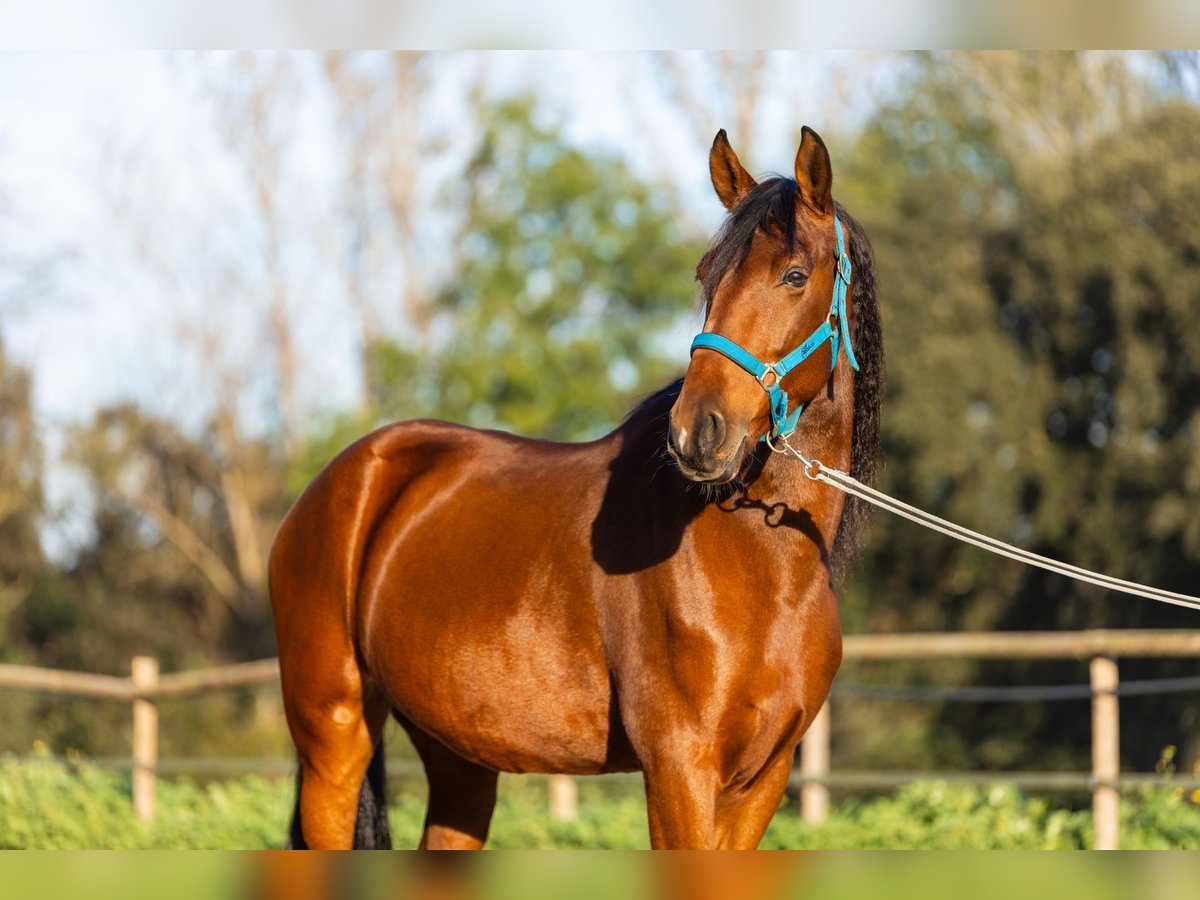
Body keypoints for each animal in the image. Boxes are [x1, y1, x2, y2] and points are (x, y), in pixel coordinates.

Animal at [274, 127, 892, 854]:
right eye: (706, 274)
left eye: (795, 275)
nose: (697, 431)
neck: (762, 569)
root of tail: (347, 477)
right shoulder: (678, 766)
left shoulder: (762, 779)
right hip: (332, 736)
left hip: (457, 755)